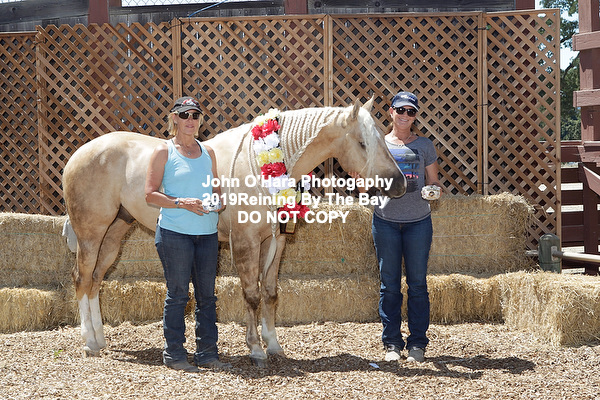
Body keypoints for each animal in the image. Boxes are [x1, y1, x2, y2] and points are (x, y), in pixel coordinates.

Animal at [62, 98, 407, 366]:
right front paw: (255, 349)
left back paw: (100, 339)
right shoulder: (246, 243)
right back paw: (89, 342)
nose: (398, 184)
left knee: (96, 280)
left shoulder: (275, 242)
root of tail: (79, 155)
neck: (263, 165)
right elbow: (251, 295)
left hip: (115, 232)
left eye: (382, 135)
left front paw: (274, 345)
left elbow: (270, 293)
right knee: (82, 278)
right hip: (91, 233)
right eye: (362, 142)